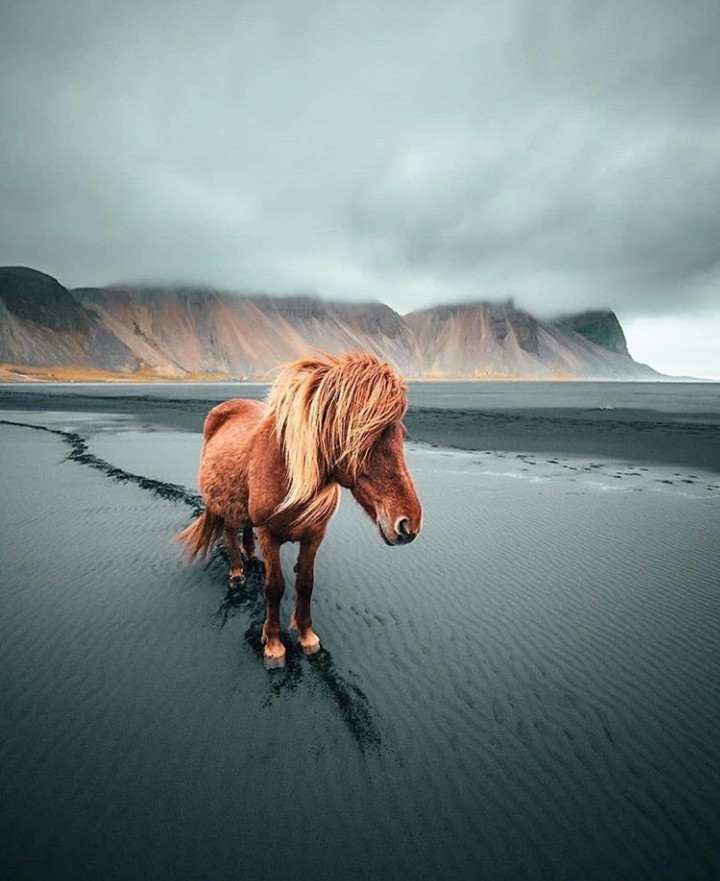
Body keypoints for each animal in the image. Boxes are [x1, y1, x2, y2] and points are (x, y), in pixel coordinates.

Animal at [176, 350, 423, 668]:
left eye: (402, 434)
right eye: (362, 438)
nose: (409, 524)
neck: (287, 472)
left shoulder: (314, 535)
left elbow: (305, 584)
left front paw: (307, 637)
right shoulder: (270, 535)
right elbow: (274, 587)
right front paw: (274, 645)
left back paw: (250, 554)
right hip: (224, 505)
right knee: (230, 534)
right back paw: (237, 573)